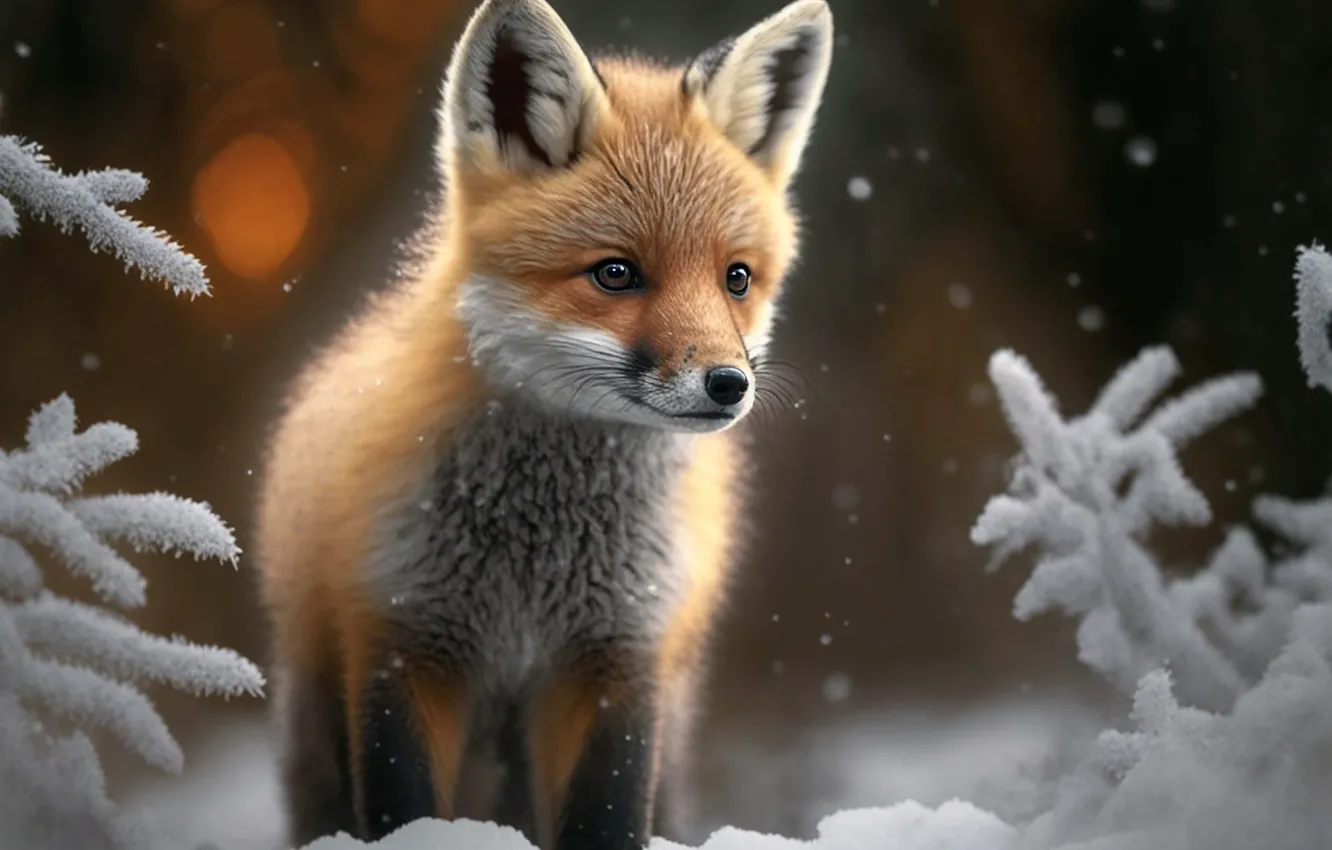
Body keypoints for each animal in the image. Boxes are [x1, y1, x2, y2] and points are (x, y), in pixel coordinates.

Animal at [254, 0, 834, 847]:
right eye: (616, 273)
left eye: (737, 278)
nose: (728, 386)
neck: (537, 559)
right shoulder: (401, 644)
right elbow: (405, 809)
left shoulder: (617, 658)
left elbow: (607, 815)